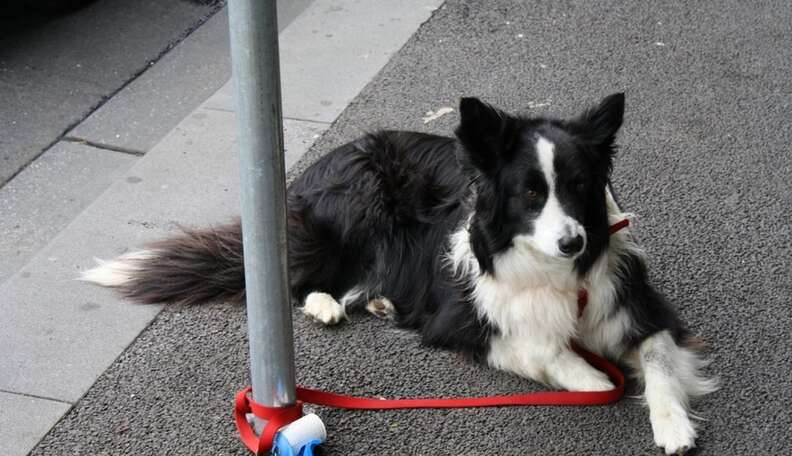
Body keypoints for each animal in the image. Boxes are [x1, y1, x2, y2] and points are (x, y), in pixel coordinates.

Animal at [82, 92, 716, 452]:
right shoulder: (463, 317)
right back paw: (326, 303)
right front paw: (592, 379)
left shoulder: (635, 303)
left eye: (579, 186)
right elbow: (542, 350)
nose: (573, 241)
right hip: (360, 205)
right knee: (299, 276)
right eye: (532, 194)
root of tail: (313, 171)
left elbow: (659, 360)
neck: (557, 274)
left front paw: (672, 426)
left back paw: (378, 300)